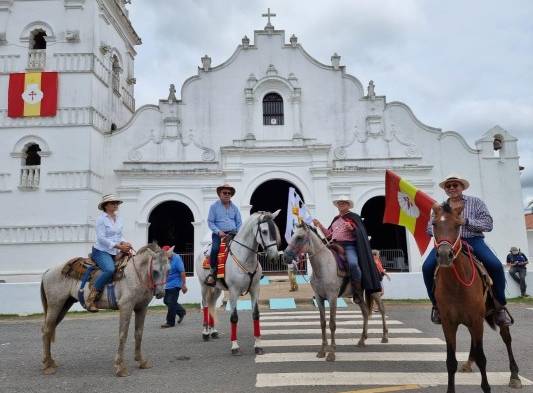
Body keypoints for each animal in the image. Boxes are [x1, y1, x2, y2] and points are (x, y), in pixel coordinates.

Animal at [40, 243, 169, 376]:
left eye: (168, 270)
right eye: (155, 271)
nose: (160, 293)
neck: (136, 275)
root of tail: (48, 271)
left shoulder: (141, 308)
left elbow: (138, 334)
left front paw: (141, 361)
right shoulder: (126, 307)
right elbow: (123, 335)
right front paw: (120, 367)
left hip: (64, 305)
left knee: (49, 329)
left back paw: (50, 361)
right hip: (55, 305)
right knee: (47, 330)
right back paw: (47, 365)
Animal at [194, 211, 278, 356]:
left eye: (275, 230)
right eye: (264, 231)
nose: (274, 257)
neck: (245, 258)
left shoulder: (255, 289)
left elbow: (256, 315)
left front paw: (258, 345)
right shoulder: (234, 292)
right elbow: (234, 317)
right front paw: (234, 346)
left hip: (217, 289)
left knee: (212, 305)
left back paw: (213, 331)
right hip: (204, 285)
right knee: (205, 305)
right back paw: (205, 333)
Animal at [282, 222, 386, 360]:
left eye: (299, 237)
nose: (285, 257)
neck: (323, 266)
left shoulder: (332, 298)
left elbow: (332, 324)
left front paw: (331, 353)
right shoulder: (319, 298)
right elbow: (323, 323)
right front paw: (322, 351)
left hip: (374, 291)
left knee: (382, 309)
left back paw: (384, 336)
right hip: (358, 295)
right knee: (365, 313)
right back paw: (362, 340)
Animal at [432, 204, 520, 390]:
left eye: (458, 225)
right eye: (434, 224)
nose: (444, 255)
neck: (456, 286)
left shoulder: (476, 320)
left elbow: (482, 358)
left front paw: (486, 387)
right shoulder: (449, 323)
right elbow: (451, 361)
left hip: (491, 315)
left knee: (506, 338)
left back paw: (515, 375)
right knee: (474, 343)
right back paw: (467, 363)